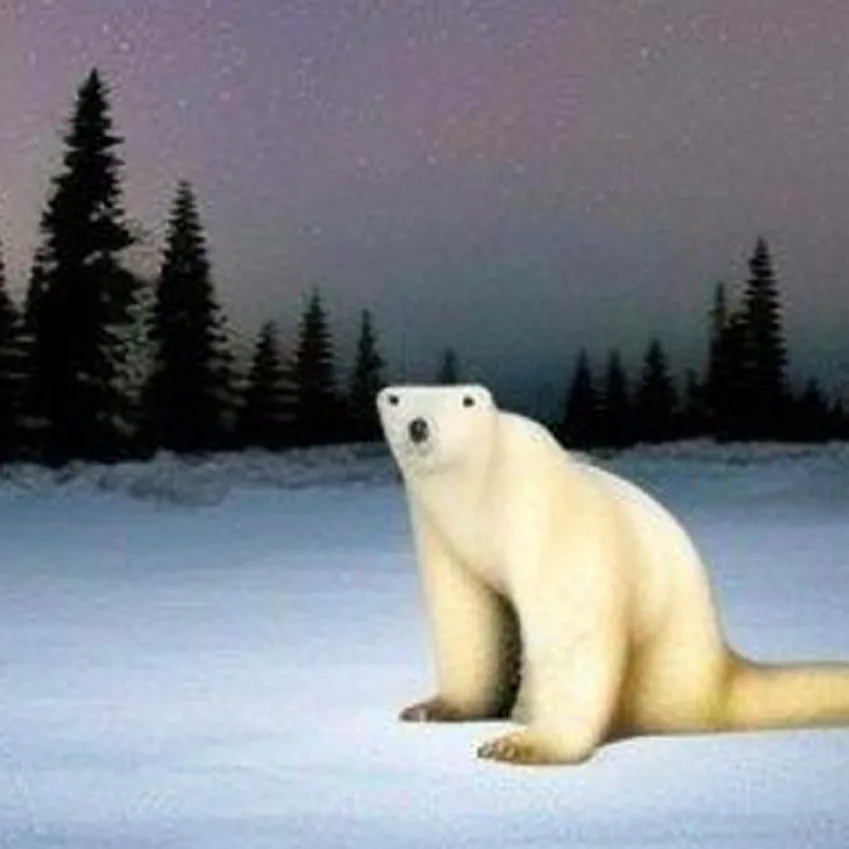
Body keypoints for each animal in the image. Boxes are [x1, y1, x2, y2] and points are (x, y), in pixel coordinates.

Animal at [376, 383, 849, 766]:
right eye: (395, 398)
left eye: (467, 400)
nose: (419, 427)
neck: (481, 496)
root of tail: (718, 668)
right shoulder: (444, 538)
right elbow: (468, 615)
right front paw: (433, 707)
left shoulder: (548, 516)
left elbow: (572, 625)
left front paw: (522, 744)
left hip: (661, 663)